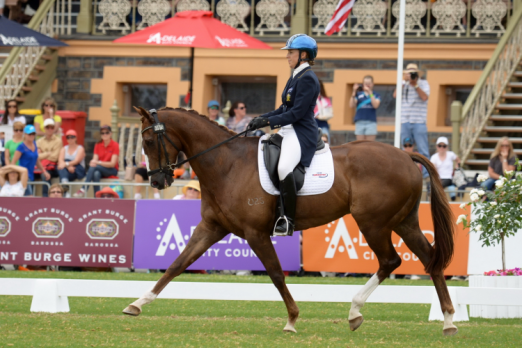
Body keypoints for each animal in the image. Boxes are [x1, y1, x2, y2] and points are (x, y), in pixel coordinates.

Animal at [122, 107, 456, 336]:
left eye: (148, 140)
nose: (157, 182)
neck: (227, 164)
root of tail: (406, 156)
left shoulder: (256, 233)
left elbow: (275, 274)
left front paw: (292, 319)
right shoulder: (211, 228)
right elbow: (177, 264)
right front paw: (137, 303)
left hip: (373, 222)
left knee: (390, 261)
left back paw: (355, 311)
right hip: (403, 222)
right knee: (430, 259)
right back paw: (449, 321)